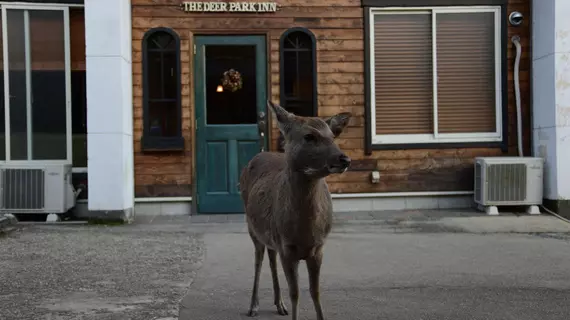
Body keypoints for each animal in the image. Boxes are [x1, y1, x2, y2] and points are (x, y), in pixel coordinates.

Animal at [236, 100, 350, 320]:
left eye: (333, 136)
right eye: (309, 136)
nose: (344, 159)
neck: (305, 231)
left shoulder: (318, 248)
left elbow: (315, 292)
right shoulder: (287, 248)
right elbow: (295, 293)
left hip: (270, 235)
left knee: (271, 258)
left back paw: (279, 305)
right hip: (252, 227)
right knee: (259, 260)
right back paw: (253, 306)